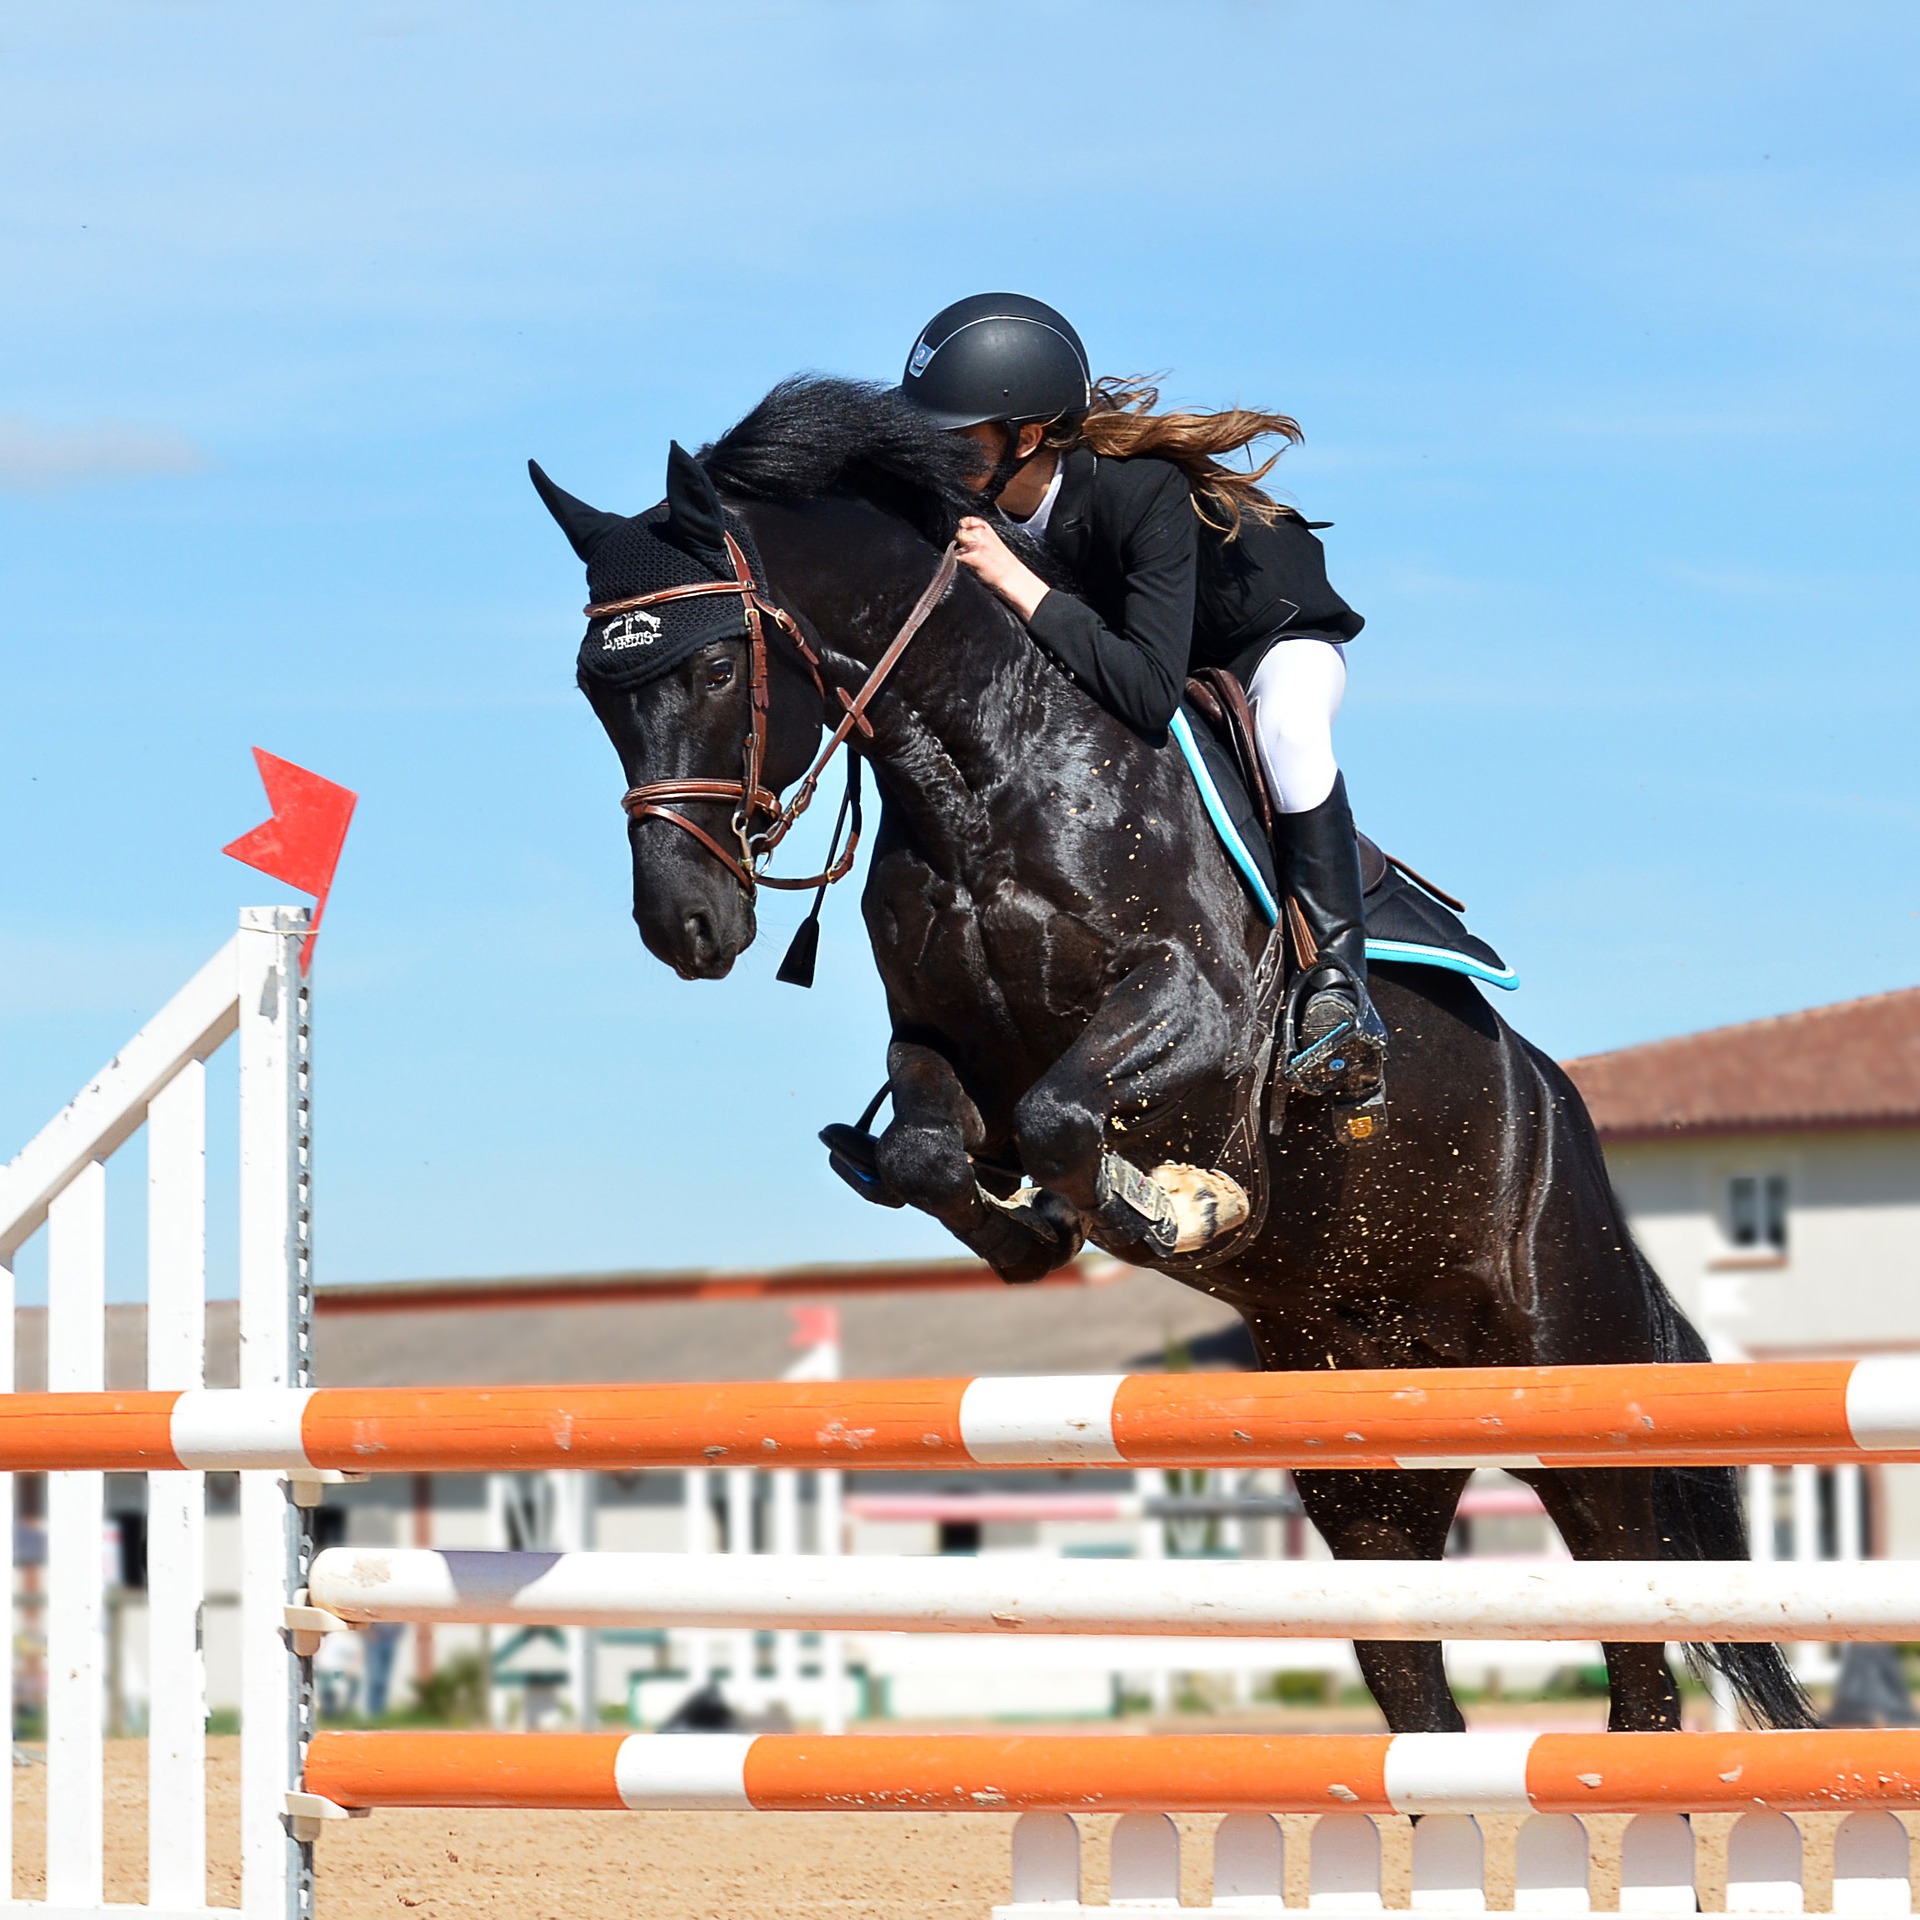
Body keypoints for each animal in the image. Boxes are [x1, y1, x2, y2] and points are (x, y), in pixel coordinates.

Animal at [533, 378, 1804, 1743]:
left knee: (1641, 1671)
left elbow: (1066, 1116)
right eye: (595, 691)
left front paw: (1184, 1207)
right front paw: (1040, 1232)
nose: (683, 926)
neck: (983, 770)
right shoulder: (941, 1046)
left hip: (1583, 1404)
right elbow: (938, 1150)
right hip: (1369, 1476)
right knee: (1418, 1686)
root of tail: (1565, 1119)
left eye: (718, 663)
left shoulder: (1197, 1011)